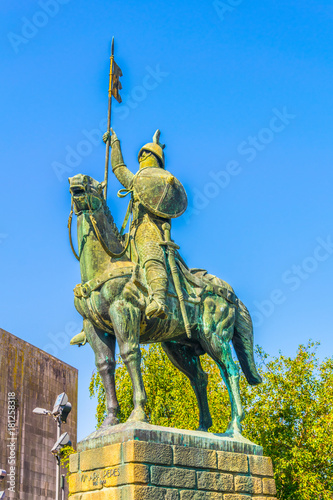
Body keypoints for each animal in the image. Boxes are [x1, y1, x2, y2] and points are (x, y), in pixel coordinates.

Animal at [67, 173, 260, 438]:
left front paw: (138, 414)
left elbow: (130, 355)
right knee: (199, 377)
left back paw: (234, 427)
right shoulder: (95, 326)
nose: (77, 180)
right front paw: (109, 422)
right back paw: (202, 428)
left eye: (95, 185)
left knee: (230, 370)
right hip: (179, 346)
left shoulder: (123, 312)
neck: (107, 265)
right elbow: (105, 366)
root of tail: (230, 293)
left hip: (214, 338)